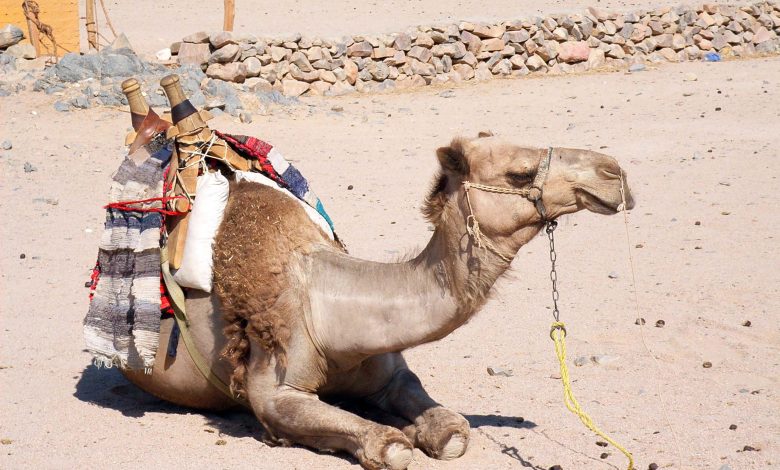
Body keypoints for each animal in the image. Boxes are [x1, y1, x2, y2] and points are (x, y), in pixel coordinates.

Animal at [120, 133, 632, 470]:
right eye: (520, 172)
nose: (615, 173)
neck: (331, 312)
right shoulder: (274, 390)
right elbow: (389, 446)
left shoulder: (391, 373)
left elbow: (452, 431)